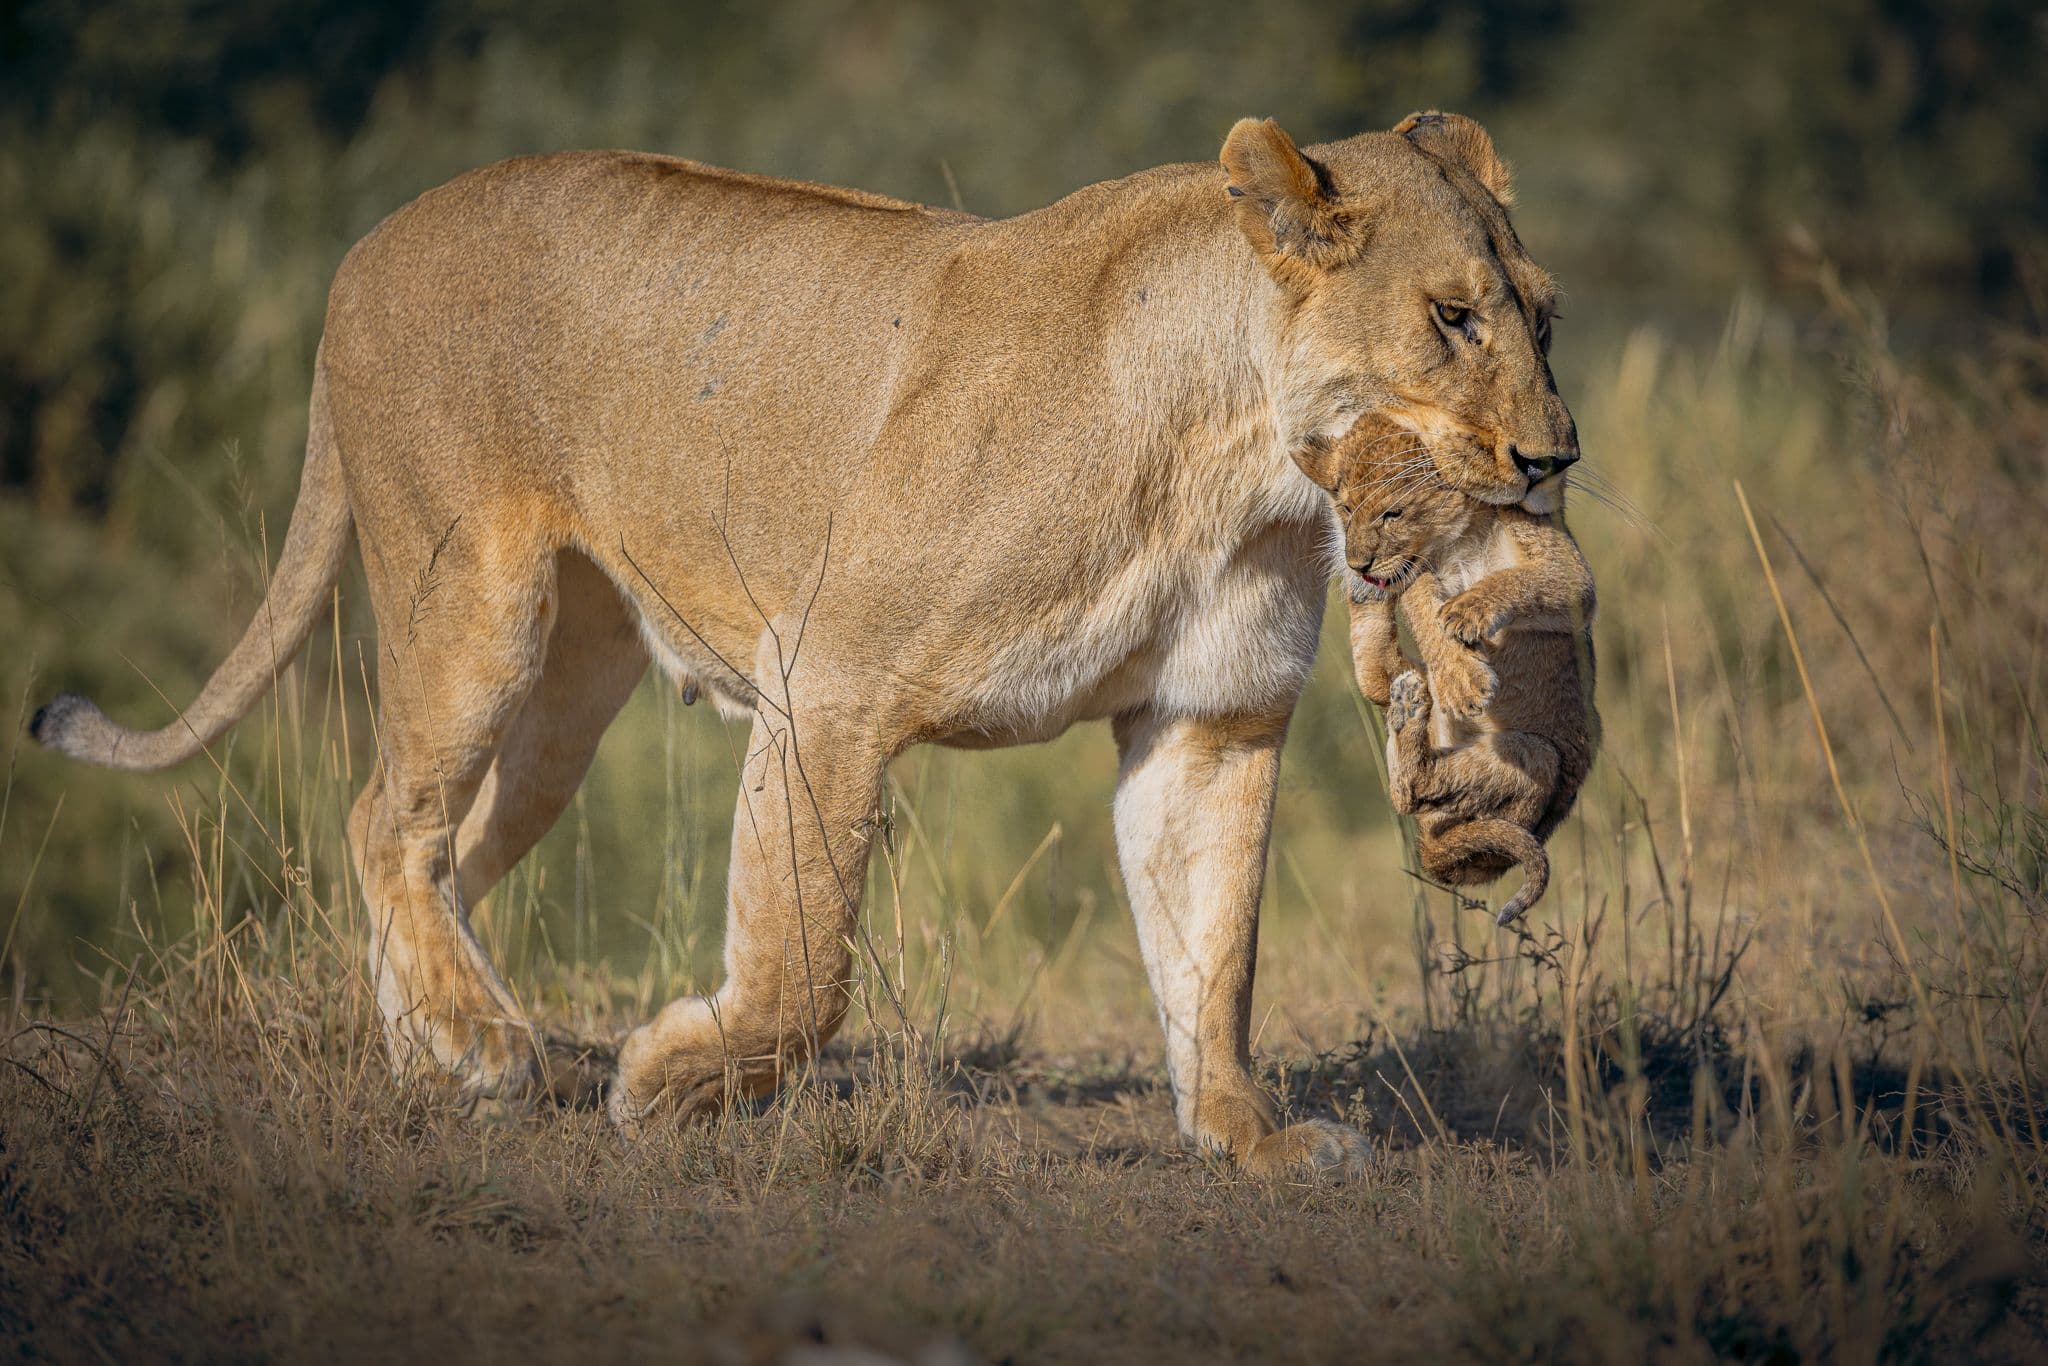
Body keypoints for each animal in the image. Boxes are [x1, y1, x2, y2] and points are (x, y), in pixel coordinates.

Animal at [30, 111, 1577, 1177]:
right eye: (1449, 316)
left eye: (1544, 316)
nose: (1555, 456)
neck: (1237, 463)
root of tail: (364, 245)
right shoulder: (828, 680)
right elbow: (803, 963)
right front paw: (668, 1083)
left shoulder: (1210, 717)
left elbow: (1214, 951)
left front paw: (1249, 1138)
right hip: (470, 601)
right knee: (380, 816)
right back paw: (481, 1045)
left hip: (570, 691)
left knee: (445, 854)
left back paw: (438, 1053)